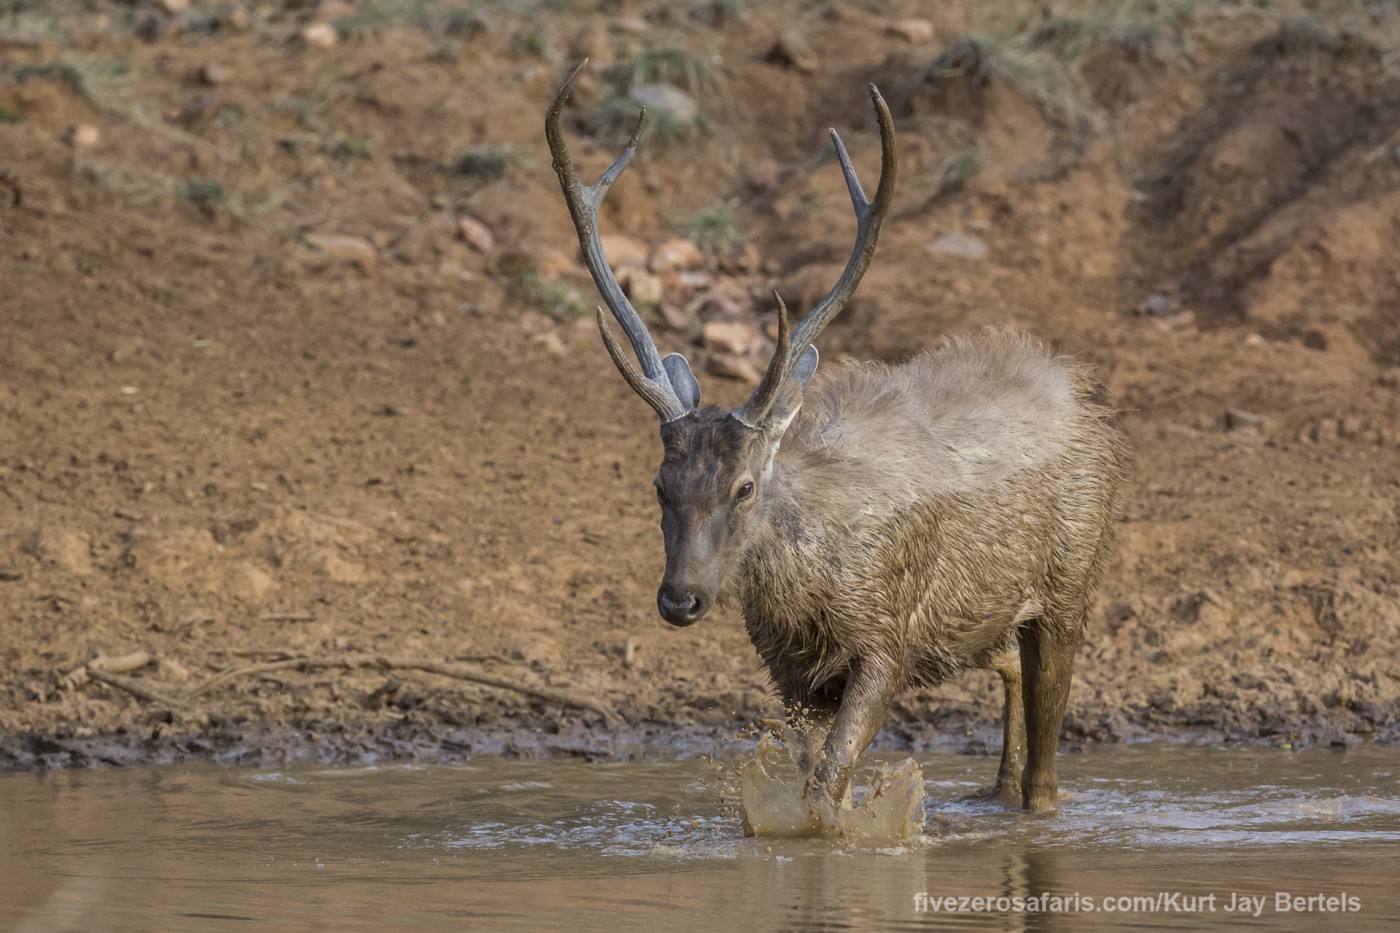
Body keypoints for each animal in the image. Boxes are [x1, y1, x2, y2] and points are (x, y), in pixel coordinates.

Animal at [546, 63, 1125, 806]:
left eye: (744, 486)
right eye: (658, 484)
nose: (679, 598)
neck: (809, 593)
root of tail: (1081, 388)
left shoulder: (886, 640)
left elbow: (828, 782)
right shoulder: (790, 674)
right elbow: (816, 786)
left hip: (1069, 586)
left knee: (1046, 769)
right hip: (986, 618)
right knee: (1009, 679)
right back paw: (993, 788)